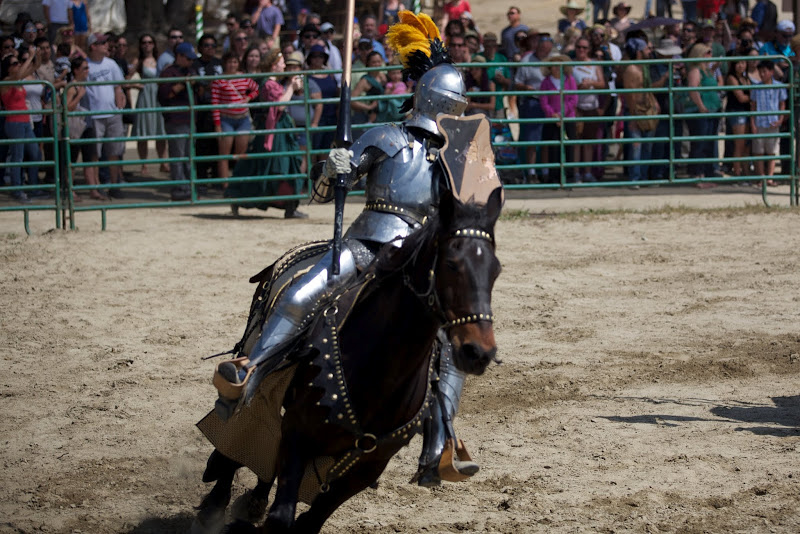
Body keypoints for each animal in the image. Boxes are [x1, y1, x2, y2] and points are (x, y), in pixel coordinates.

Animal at [192, 186, 500, 532]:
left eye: (495, 270)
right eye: (451, 263)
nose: (480, 352)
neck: (379, 374)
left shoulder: (367, 467)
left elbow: (311, 520)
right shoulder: (298, 436)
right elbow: (281, 514)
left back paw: (253, 500)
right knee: (243, 420)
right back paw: (216, 503)